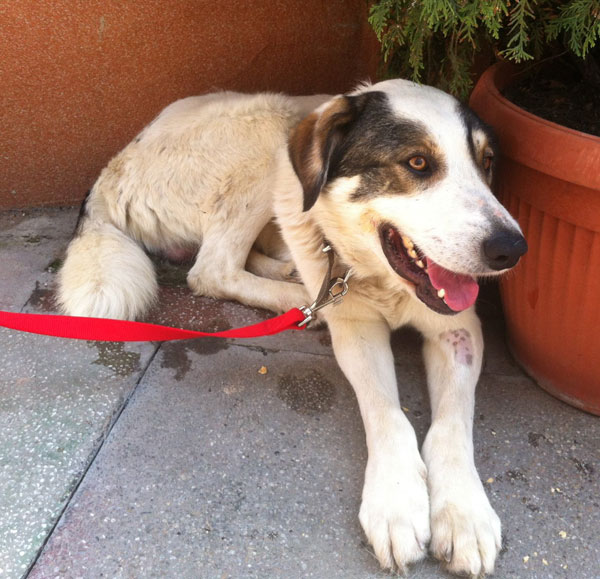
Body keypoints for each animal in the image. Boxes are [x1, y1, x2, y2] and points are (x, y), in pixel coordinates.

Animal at [56, 80, 524, 576]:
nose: (513, 249)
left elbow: (452, 425)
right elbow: (387, 415)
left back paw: (289, 274)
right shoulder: (356, 328)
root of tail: (109, 173)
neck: (382, 281)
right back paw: (299, 299)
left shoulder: (458, 330)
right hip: (264, 135)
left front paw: (464, 513)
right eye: (417, 162)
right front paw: (396, 500)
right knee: (211, 270)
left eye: (487, 162)